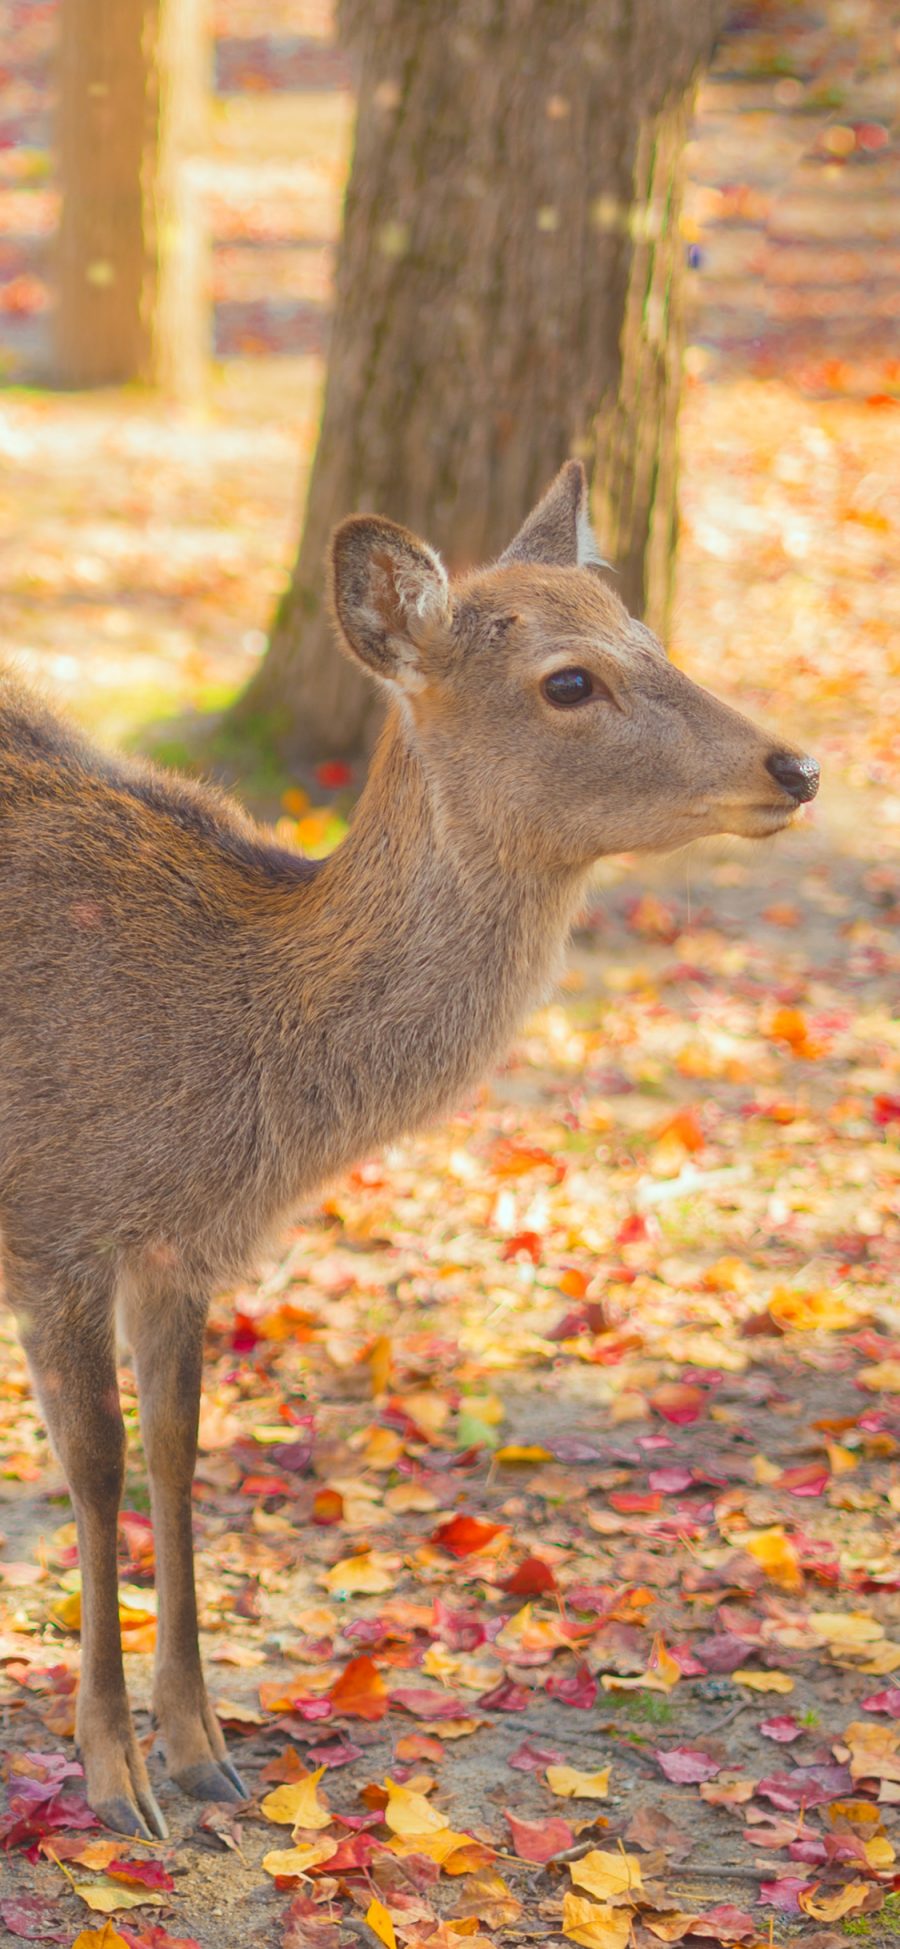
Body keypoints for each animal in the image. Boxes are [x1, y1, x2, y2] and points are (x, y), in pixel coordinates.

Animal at [0, 463, 818, 1832]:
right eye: (568, 681)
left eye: (651, 633)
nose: (797, 762)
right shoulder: (55, 1219)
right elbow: (100, 1466)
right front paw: (116, 1778)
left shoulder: (181, 1251)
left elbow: (178, 1450)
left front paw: (205, 1748)